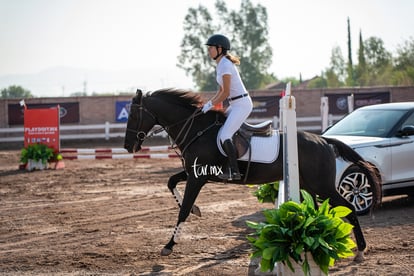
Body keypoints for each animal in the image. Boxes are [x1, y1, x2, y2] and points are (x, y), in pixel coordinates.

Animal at [124, 89, 380, 260]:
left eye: (133, 116)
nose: (128, 147)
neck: (196, 130)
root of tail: (324, 140)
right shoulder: (195, 173)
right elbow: (171, 183)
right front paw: (196, 211)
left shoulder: (198, 178)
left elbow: (184, 210)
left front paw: (169, 245)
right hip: (309, 186)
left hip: (322, 186)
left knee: (349, 207)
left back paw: (361, 250)